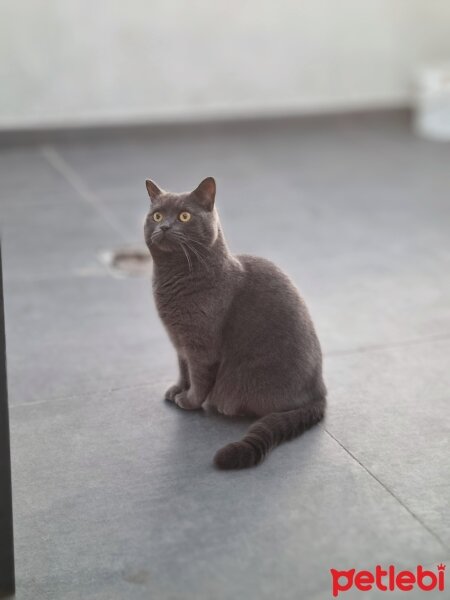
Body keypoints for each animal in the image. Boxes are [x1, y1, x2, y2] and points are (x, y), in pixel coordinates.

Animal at [146, 177, 326, 468]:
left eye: (184, 216)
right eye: (157, 215)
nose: (164, 226)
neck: (173, 278)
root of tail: (319, 393)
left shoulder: (201, 346)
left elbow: (199, 377)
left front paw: (189, 401)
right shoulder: (179, 342)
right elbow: (183, 370)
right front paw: (177, 390)